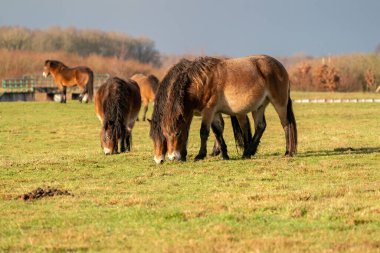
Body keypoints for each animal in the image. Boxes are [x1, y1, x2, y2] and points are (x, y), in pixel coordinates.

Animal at [149, 55, 296, 162]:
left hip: (279, 103)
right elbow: (217, 131)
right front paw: (224, 155)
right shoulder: (212, 113)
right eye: (164, 135)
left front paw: (199, 155)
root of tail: (280, 66)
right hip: (259, 106)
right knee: (260, 126)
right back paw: (247, 152)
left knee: (286, 124)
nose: (170, 158)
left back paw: (288, 152)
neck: (201, 82)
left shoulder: (208, 111)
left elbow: (204, 132)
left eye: (177, 133)